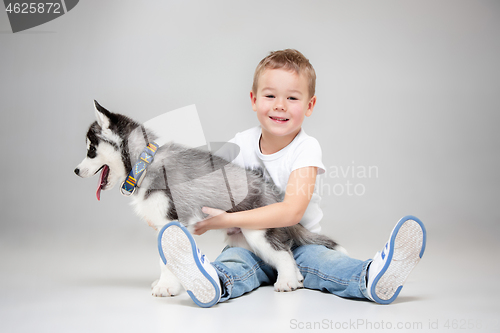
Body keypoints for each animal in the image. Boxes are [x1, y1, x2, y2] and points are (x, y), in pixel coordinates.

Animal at [75, 101, 340, 296]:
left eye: (91, 150)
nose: (75, 171)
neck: (144, 163)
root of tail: (273, 190)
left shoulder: (172, 222)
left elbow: (168, 260)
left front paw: (166, 287)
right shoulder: (163, 227)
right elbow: (165, 259)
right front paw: (168, 283)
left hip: (259, 229)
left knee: (283, 252)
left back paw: (286, 281)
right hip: (240, 239)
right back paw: (294, 277)